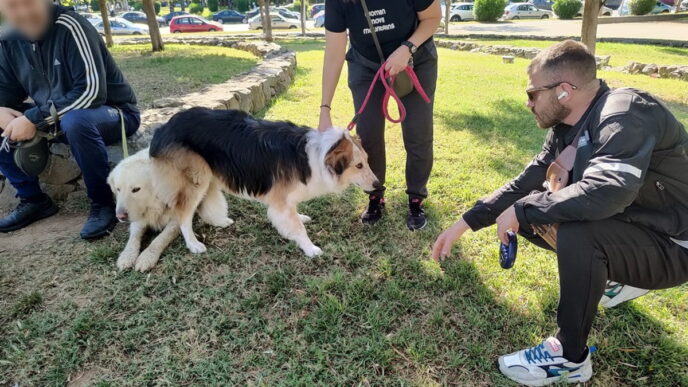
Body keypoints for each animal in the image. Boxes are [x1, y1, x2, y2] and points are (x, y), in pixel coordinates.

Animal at [142, 107, 378, 258]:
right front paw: (310, 248)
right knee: (183, 214)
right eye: (358, 166)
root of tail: (162, 128)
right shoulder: (281, 201)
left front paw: (300, 217)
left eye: (367, 161)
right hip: (196, 179)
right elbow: (297, 227)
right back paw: (193, 244)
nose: (379, 186)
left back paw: (220, 221)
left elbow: (295, 217)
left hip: (210, 175)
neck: (318, 154)